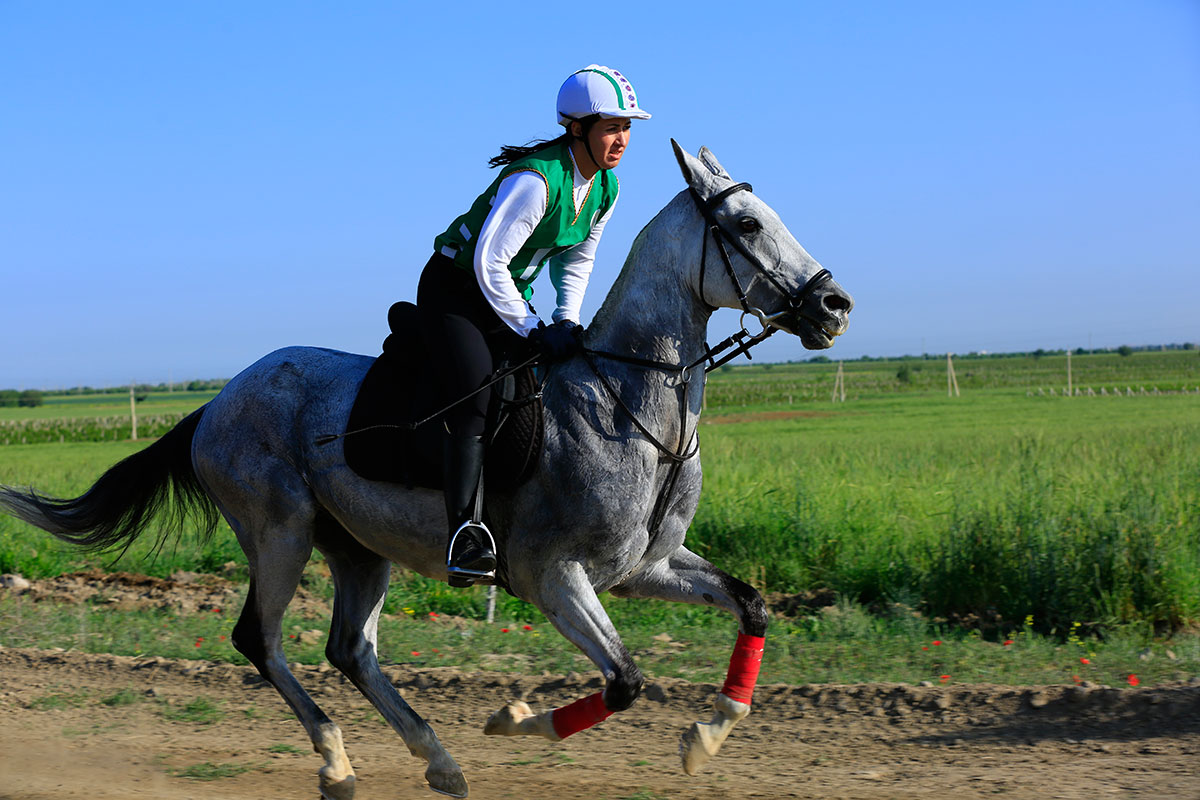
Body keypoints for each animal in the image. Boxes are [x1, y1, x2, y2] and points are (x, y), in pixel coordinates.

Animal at [0, 140, 854, 796]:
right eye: (747, 223)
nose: (833, 306)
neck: (625, 403)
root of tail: (214, 402)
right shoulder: (554, 576)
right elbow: (624, 680)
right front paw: (512, 719)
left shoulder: (648, 566)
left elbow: (751, 605)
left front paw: (707, 735)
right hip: (280, 532)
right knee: (259, 640)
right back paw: (338, 762)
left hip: (357, 547)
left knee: (350, 649)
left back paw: (436, 760)